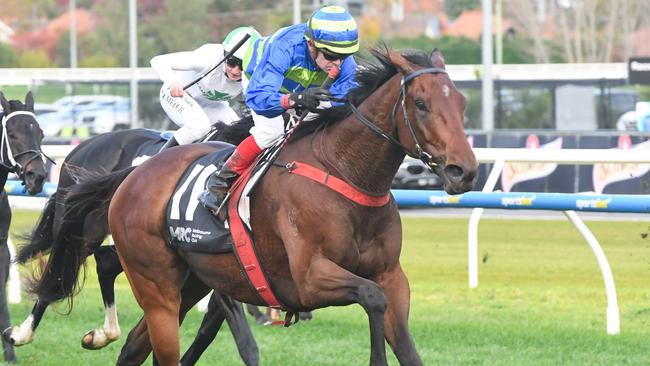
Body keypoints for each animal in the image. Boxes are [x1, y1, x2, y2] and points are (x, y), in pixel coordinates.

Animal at [5, 122, 264, 364]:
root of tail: (84, 146)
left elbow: (207, 329)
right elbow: (236, 333)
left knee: (104, 262)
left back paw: (105, 333)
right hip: (84, 231)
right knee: (58, 274)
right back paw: (22, 333)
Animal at [34, 47, 476, 364]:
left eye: (462, 103)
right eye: (421, 104)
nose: (464, 170)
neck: (345, 172)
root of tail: (133, 175)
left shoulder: (392, 277)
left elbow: (401, 334)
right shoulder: (308, 279)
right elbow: (370, 297)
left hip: (191, 283)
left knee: (132, 346)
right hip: (156, 284)